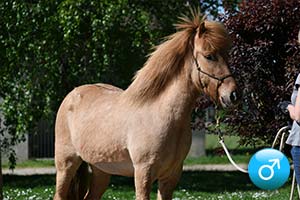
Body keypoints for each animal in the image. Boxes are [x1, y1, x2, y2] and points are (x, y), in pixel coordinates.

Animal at [54, 9, 239, 200]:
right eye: (209, 56)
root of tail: (72, 94)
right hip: (66, 165)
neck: (161, 114)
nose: (233, 95)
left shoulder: (171, 175)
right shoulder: (144, 172)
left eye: (227, 54)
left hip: (101, 170)